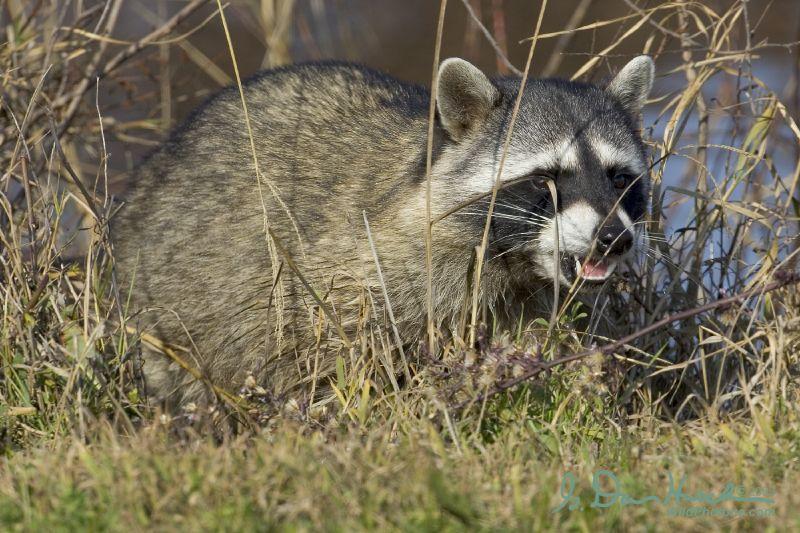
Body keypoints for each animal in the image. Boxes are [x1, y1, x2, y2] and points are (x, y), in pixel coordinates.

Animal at [114, 54, 656, 406]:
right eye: (546, 179)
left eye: (619, 179)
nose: (615, 238)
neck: (513, 261)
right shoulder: (355, 268)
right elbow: (331, 352)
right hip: (156, 301)